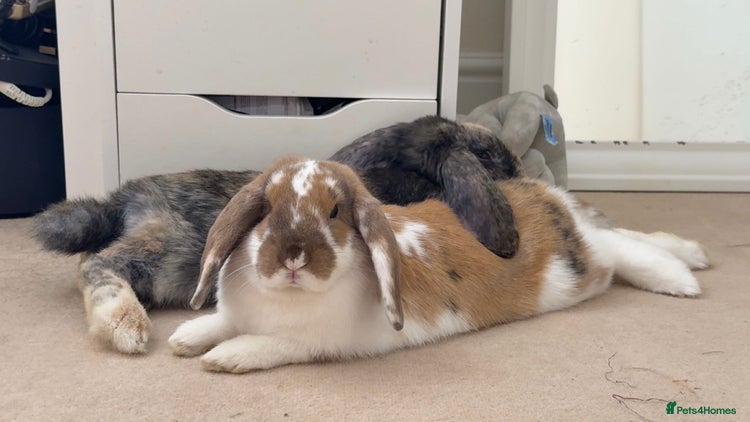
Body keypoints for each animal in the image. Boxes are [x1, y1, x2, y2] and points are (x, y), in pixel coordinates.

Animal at [32, 116, 524, 354]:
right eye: (491, 156)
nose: (521, 169)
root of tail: (122, 201)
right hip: (168, 255)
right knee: (97, 264)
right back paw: (124, 326)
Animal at [168, 156, 709, 373]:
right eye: (264, 210)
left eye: (336, 212)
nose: (293, 257)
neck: (285, 296)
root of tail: (548, 197)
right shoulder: (236, 313)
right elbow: (219, 322)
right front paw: (184, 339)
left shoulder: (310, 343)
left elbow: (264, 344)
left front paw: (224, 359)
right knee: (624, 237)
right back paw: (694, 257)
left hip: (588, 262)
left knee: (621, 249)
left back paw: (681, 279)